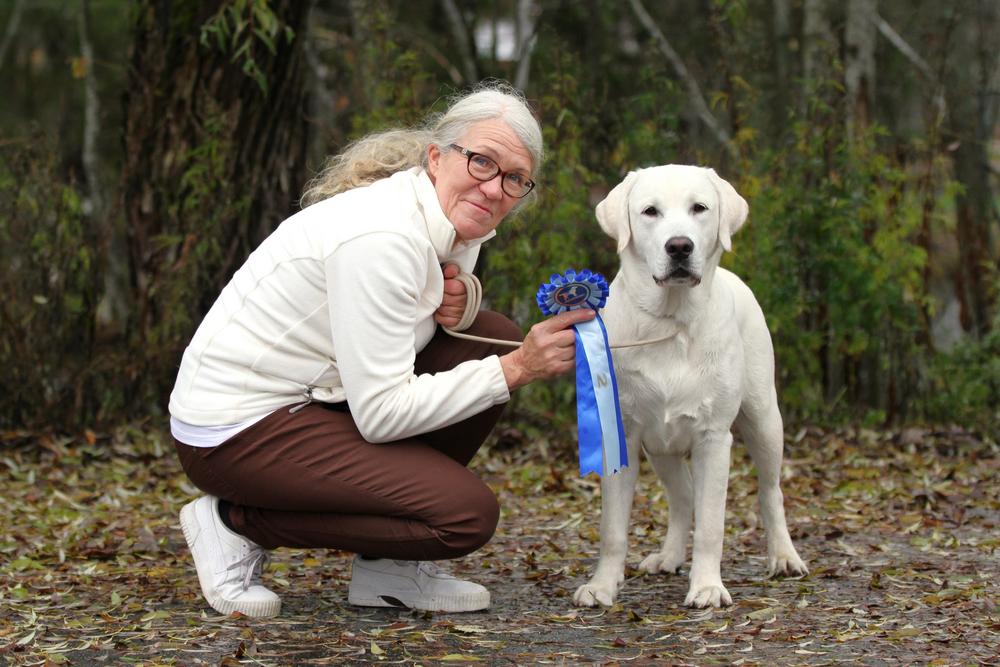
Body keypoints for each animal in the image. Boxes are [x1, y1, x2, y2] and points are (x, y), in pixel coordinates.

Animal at [572, 165, 808, 609]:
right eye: (650, 211)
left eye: (699, 207)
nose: (680, 246)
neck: (671, 321)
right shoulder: (624, 433)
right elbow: (613, 527)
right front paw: (602, 585)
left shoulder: (713, 438)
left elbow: (712, 523)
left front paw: (707, 587)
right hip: (661, 445)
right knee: (682, 497)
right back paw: (667, 557)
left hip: (764, 419)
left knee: (770, 492)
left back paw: (784, 557)